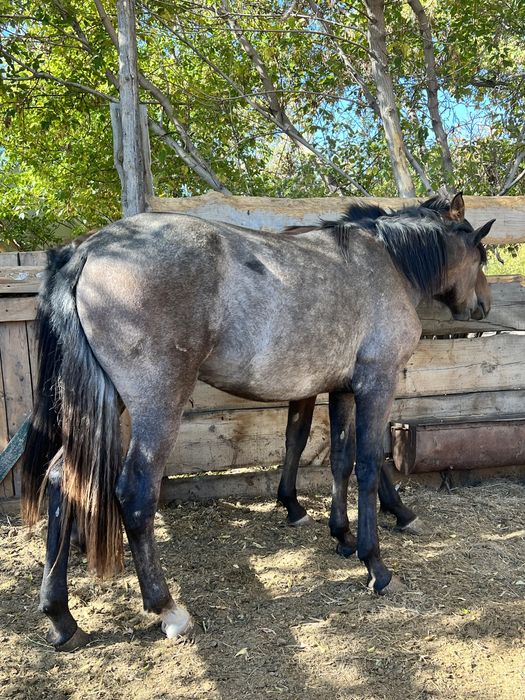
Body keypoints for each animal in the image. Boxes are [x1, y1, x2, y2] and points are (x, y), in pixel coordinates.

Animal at [275, 194, 492, 557]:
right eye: (481, 259)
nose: (485, 305)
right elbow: (362, 451)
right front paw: (396, 512)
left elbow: (336, 447)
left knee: (300, 435)